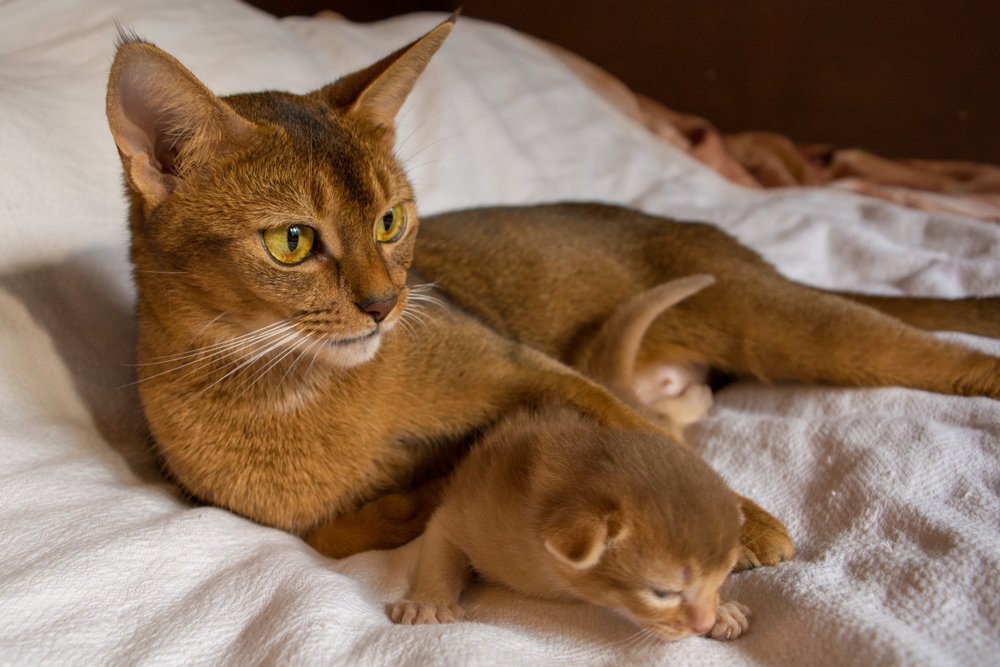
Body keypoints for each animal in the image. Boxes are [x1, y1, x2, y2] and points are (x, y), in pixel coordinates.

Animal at [390, 276, 752, 640]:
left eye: (721, 579)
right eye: (662, 593)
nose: (703, 622)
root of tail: (606, 385)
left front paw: (723, 610)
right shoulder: (466, 506)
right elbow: (440, 546)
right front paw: (429, 601)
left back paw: (697, 396)